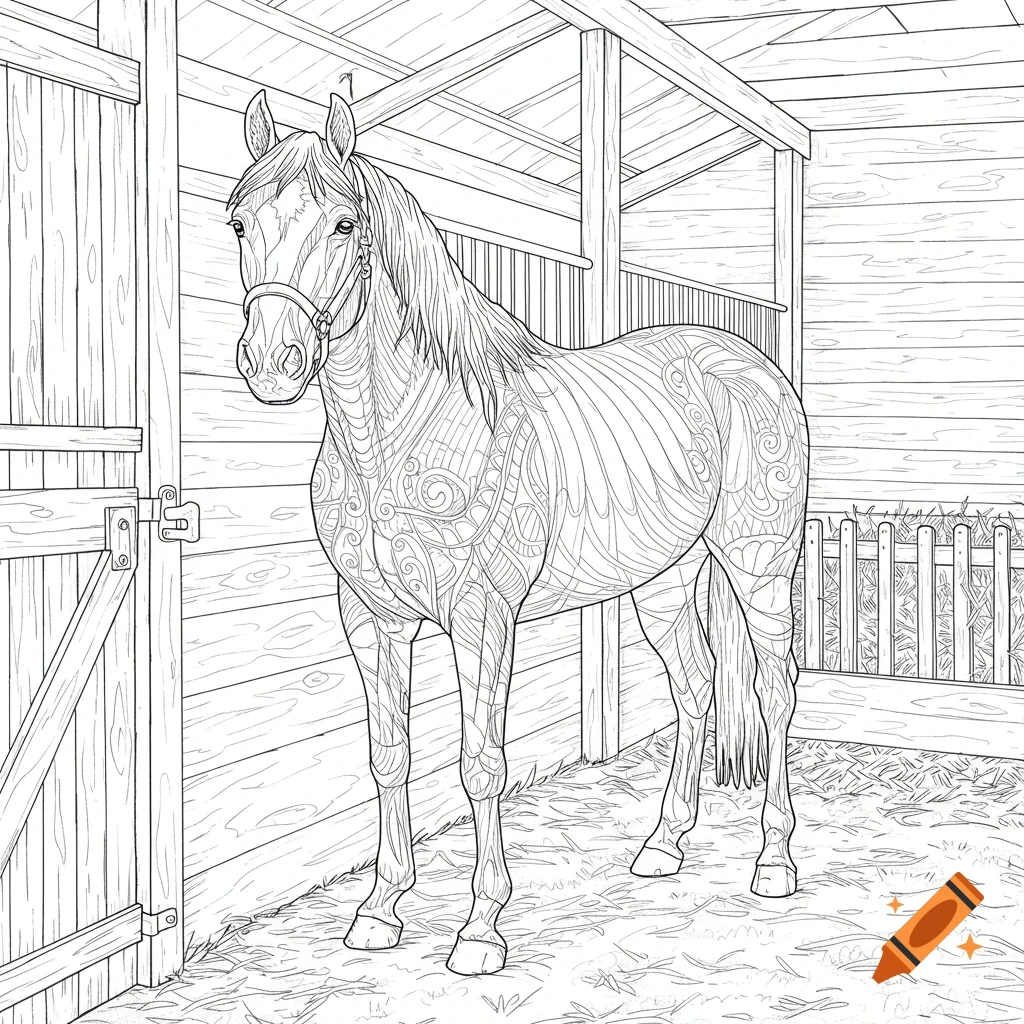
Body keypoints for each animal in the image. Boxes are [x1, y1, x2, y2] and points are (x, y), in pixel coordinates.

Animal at [226, 85, 810, 977]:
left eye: (345, 224)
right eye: (240, 223)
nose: (271, 362)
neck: (398, 435)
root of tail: (746, 363)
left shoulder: (481, 619)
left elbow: (480, 765)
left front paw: (480, 928)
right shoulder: (371, 619)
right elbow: (388, 757)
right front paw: (380, 908)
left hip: (759, 569)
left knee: (774, 693)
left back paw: (773, 863)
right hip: (664, 581)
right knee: (696, 687)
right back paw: (664, 845)